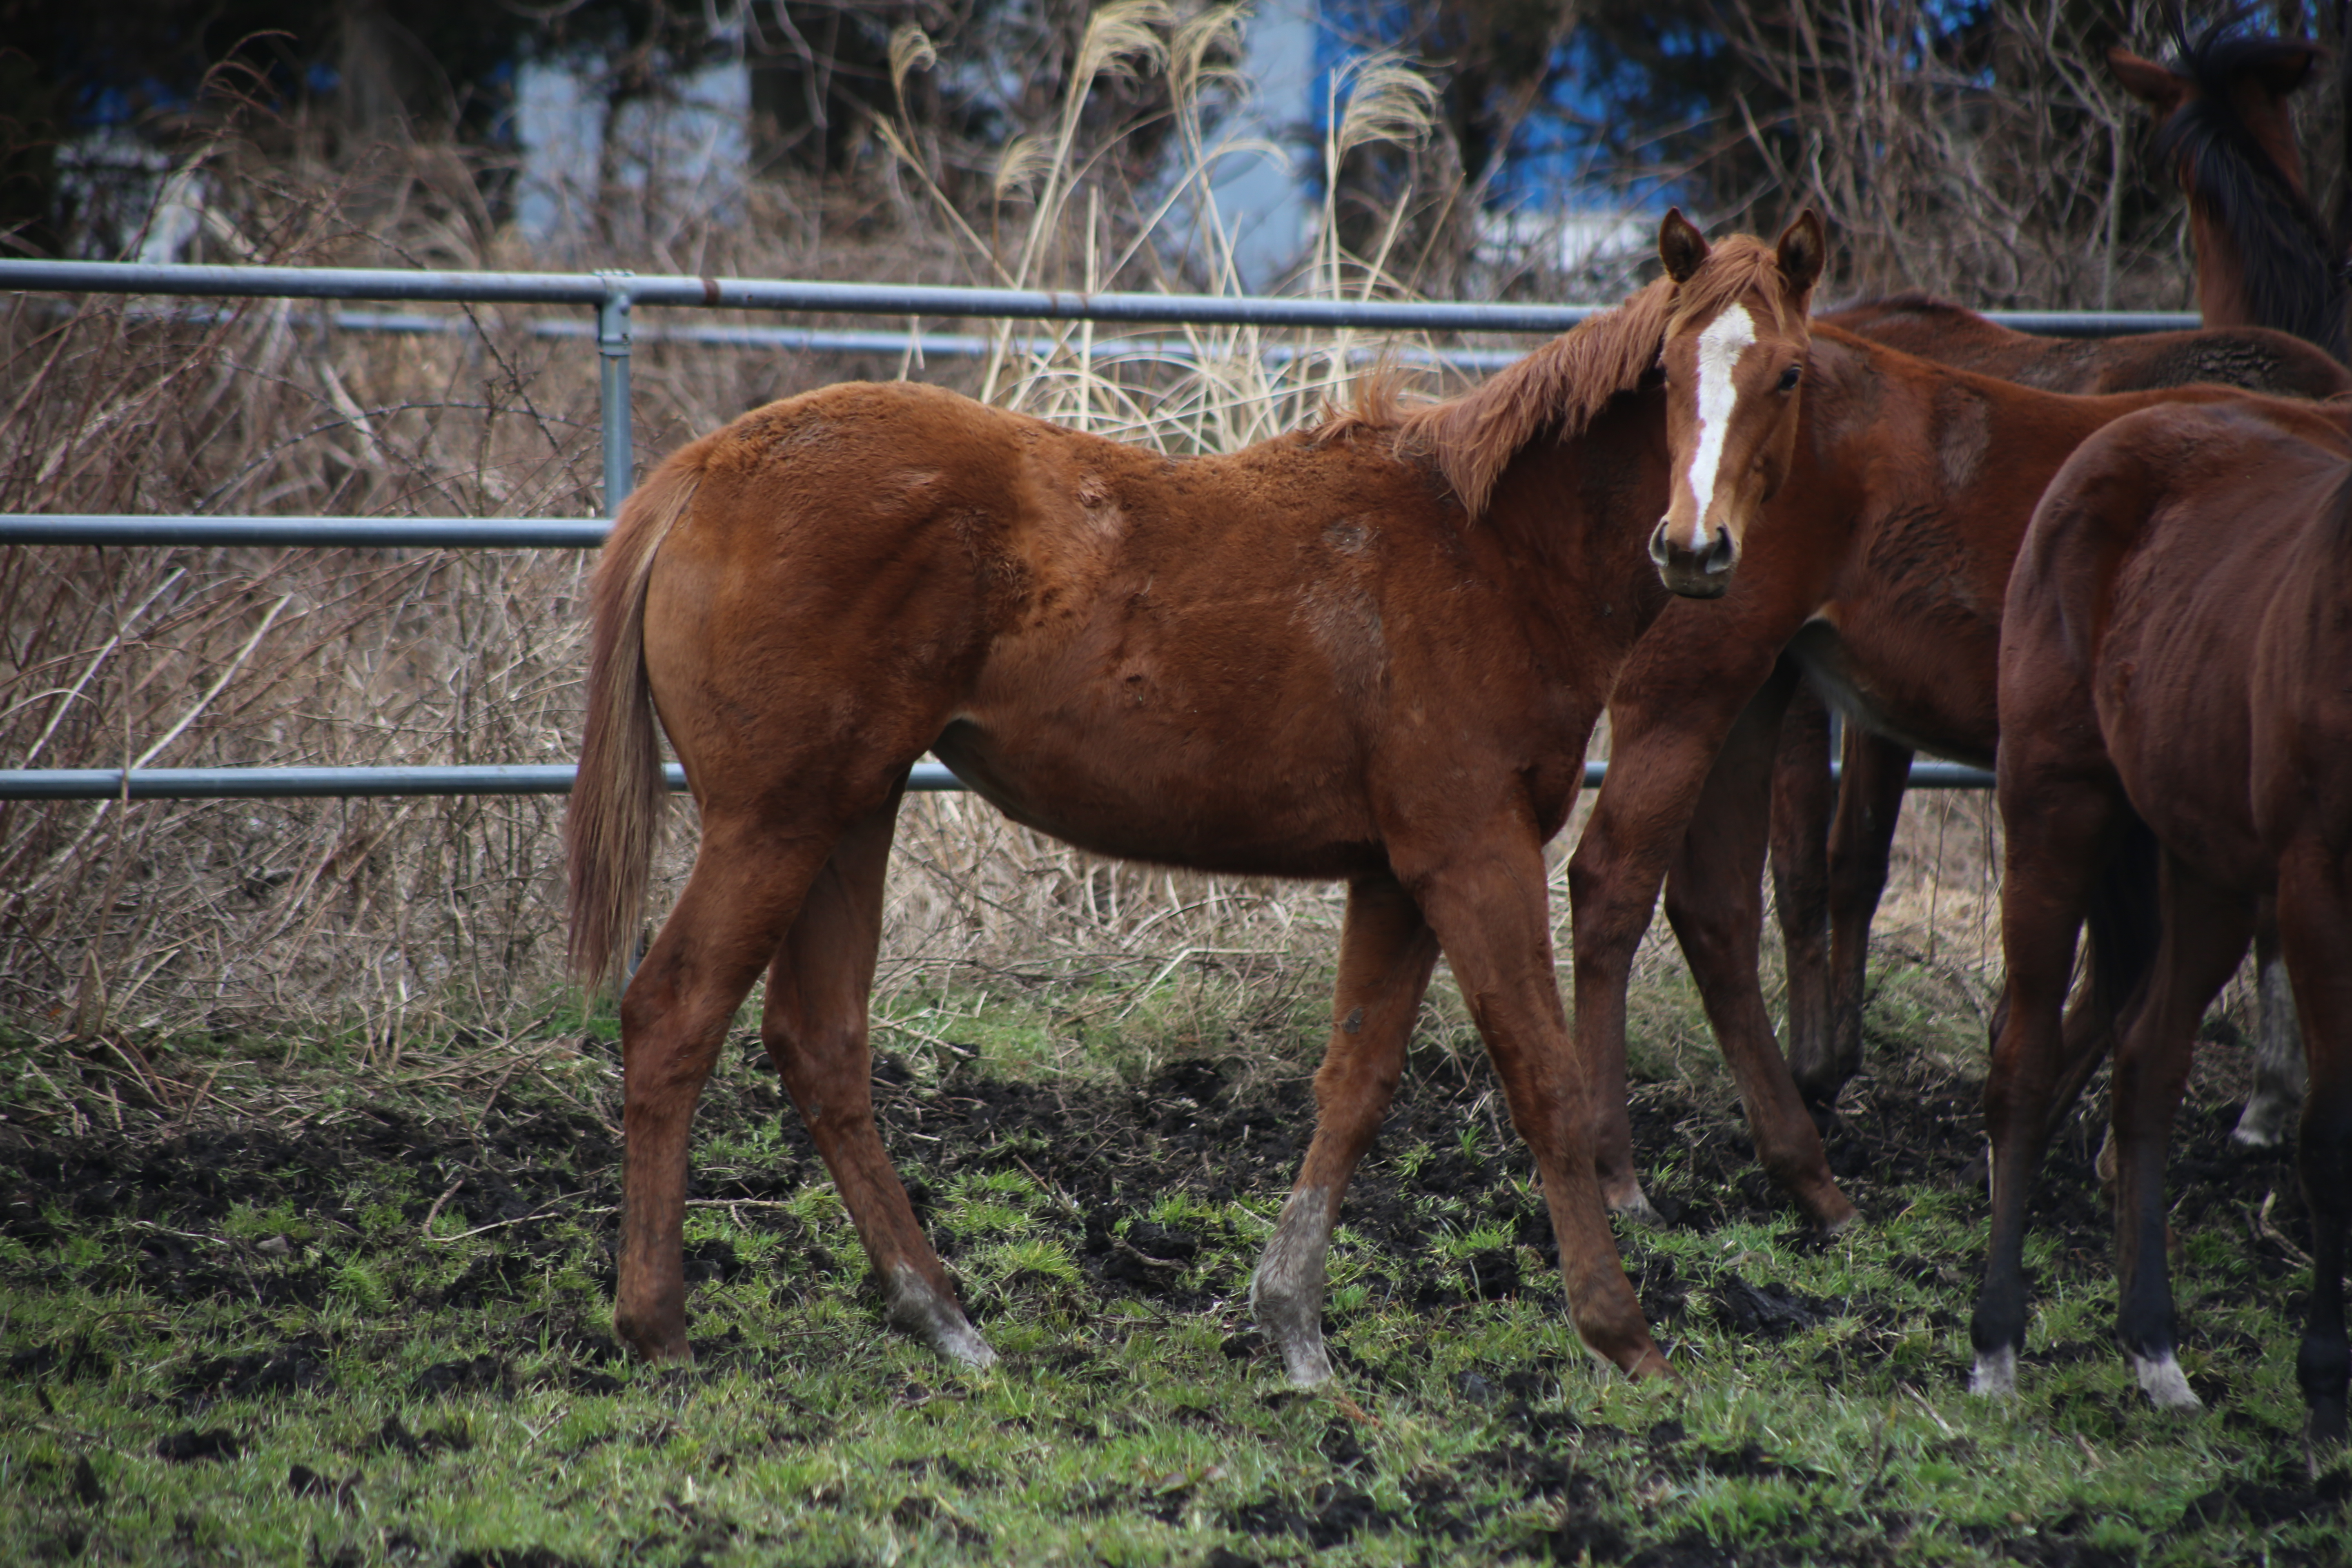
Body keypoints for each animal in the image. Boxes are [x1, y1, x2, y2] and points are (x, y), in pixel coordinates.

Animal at [559, 212, 1825, 1382]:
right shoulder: (1473, 854)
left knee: (818, 1040)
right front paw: (1623, 1337)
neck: (1487, 551)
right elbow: (1543, 1079)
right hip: (776, 822)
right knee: (673, 1015)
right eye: (1667, 371)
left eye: (1789, 373)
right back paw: (659, 1327)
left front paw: (1294, 1328)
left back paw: (943, 1317)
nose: (1694, 548)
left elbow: (1355, 1085)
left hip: (849, 815)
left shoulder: (1397, 875)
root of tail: (701, 473)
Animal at [1985, 390, 2352, 1439]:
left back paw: (2154, 1352)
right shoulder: (2317, 883)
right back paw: (1996, 1346)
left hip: (2204, 868)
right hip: (2055, 808)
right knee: (2024, 1055)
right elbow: (2328, 1137)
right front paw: (2323, 1396)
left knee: (2145, 1062)